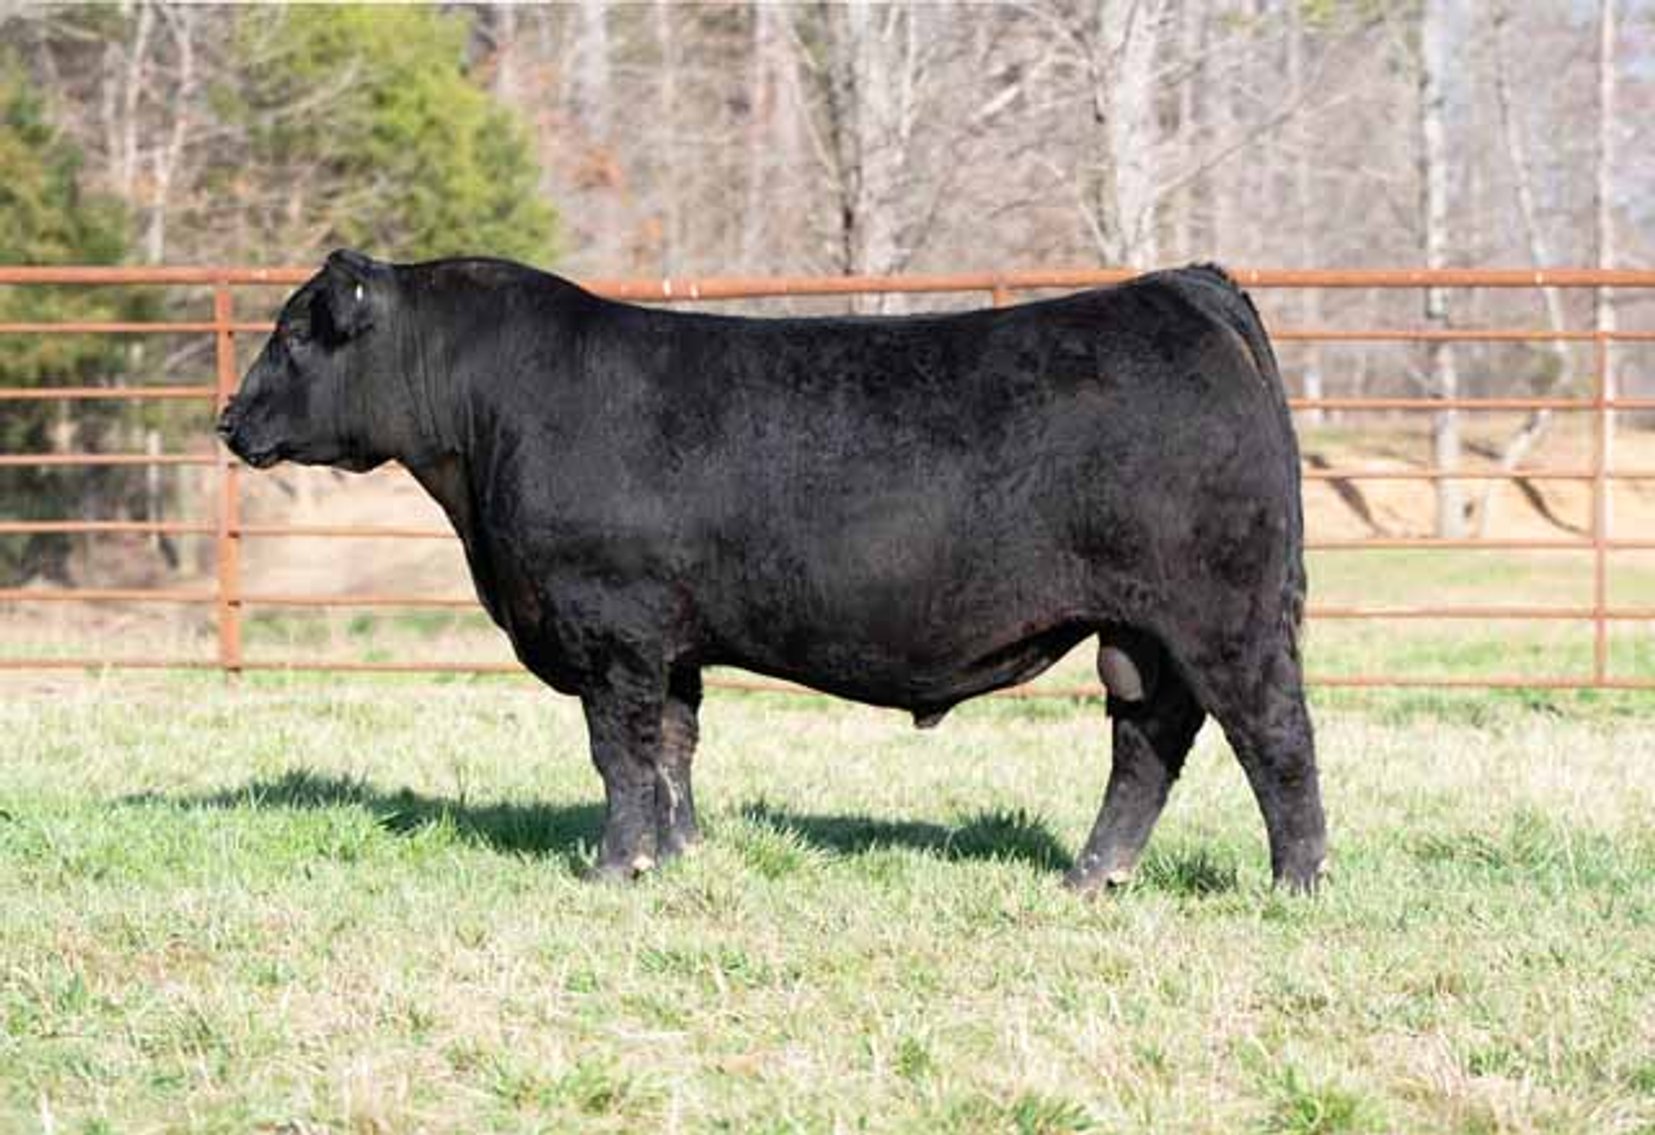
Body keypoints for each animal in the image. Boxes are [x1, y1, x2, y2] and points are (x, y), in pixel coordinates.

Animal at [218, 249, 1327, 893]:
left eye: (292, 332)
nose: (227, 419)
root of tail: (1177, 286)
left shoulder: (608, 624)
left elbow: (619, 754)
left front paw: (611, 868)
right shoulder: (668, 640)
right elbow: (671, 749)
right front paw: (676, 857)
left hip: (1222, 613)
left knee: (1274, 737)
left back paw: (1294, 884)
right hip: (1140, 633)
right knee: (1146, 743)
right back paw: (1091, 878)